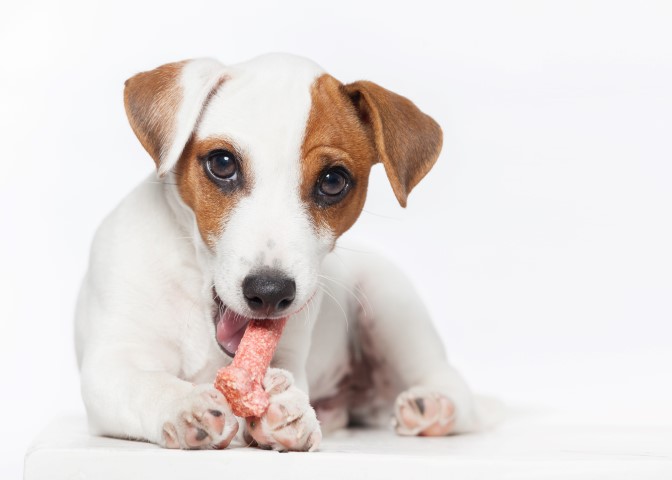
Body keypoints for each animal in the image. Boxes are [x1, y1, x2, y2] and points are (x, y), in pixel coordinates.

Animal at [76, 54, 480, 452]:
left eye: (333, 181)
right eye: (222, 164)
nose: (269, 293)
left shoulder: (291, 352)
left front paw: (288, 410)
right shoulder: (109, 365)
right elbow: (145, 384)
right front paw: (186, 404)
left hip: (390, 302)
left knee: (450, 382)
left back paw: (434, 408)